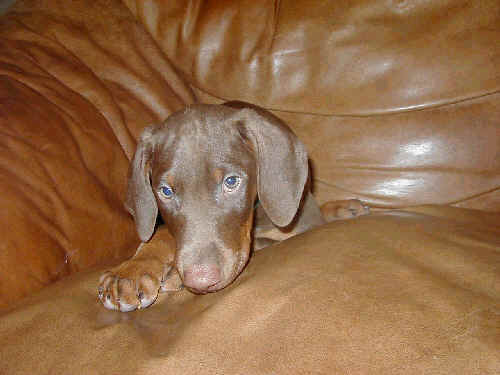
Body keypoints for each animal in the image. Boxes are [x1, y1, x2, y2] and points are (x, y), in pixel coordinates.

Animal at [98, 102, 368, 312]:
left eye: (231, 182)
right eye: (165, 191)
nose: (200, 281)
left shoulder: (301, 224)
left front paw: (172, 272)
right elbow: (161, 233)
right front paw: (132, 270)